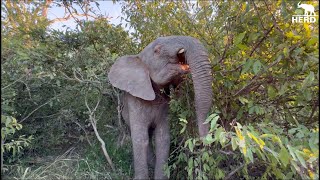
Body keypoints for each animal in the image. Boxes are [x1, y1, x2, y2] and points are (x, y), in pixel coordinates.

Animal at [107, 35, 212, 179]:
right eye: (157, 50)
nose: (203, 141)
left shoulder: (165, 106)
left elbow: (163, 138)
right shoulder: (134, 102)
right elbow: (140, 139)